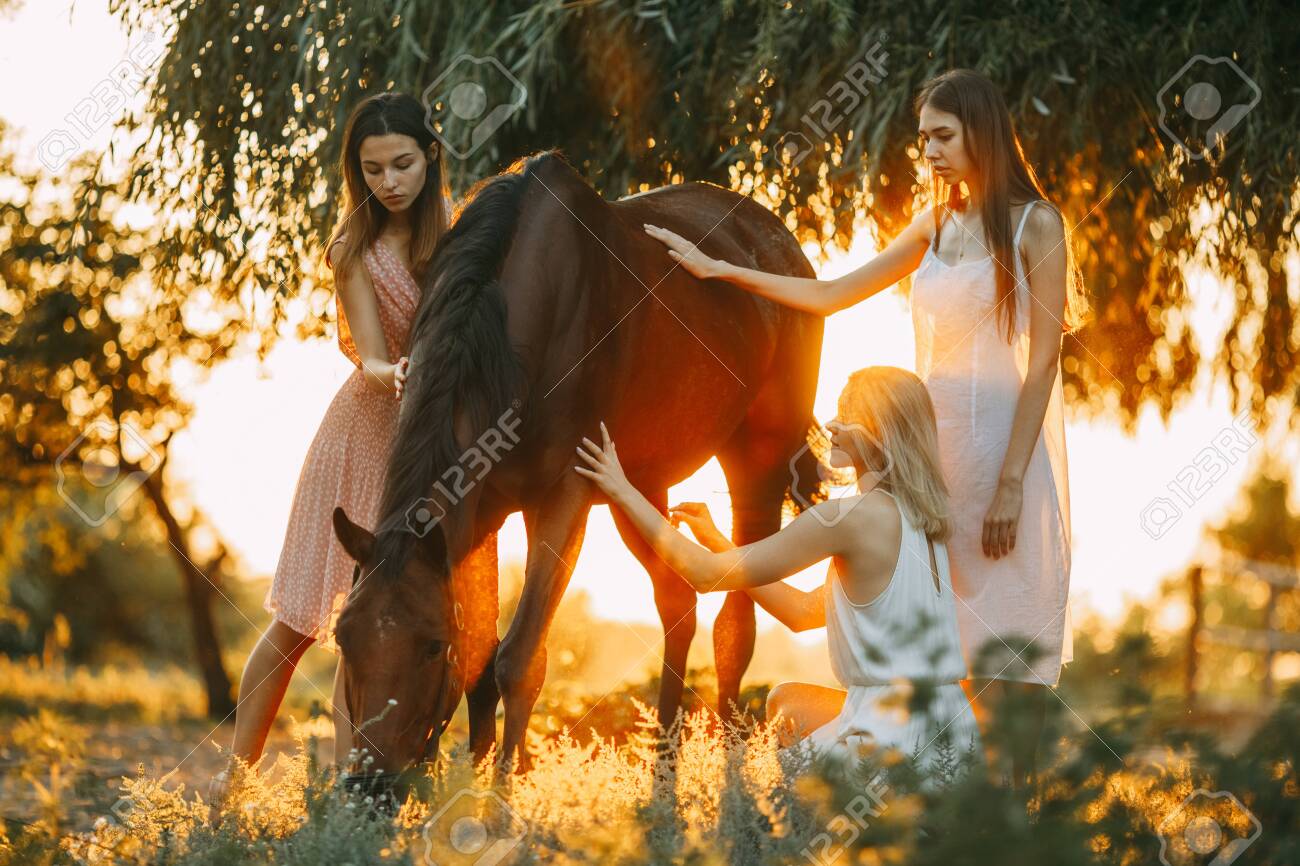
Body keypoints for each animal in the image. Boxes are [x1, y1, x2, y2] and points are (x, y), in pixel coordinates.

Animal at [332, 151, 821, 785]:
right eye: (343, 639)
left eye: (432, 645)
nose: (368, 785)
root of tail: (779, 244)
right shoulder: (485, 508)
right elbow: (481, 669)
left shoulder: (563, 497)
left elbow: (518, 660)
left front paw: (500, 803)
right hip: (638, 488)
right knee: (679, 603)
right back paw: (663, 786)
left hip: (756, 466)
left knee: (735, 625)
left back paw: (732, 787)